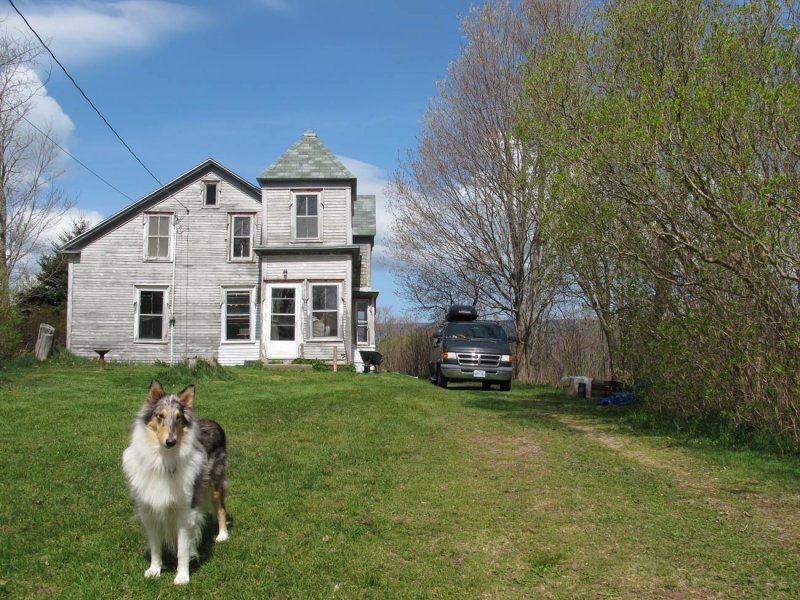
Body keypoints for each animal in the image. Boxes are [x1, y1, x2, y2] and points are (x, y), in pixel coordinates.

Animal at [122, 382, 228, 584]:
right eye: (160, 416)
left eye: (179, 418)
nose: (170, 441)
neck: (163, 459)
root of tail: (213, 422)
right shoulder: (148, 510)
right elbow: (156, 546)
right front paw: (154, 570)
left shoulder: (184, 511)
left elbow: (182, 550)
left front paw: (182, 577)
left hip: (215, 484)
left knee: (220, 508)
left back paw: (222, 535)